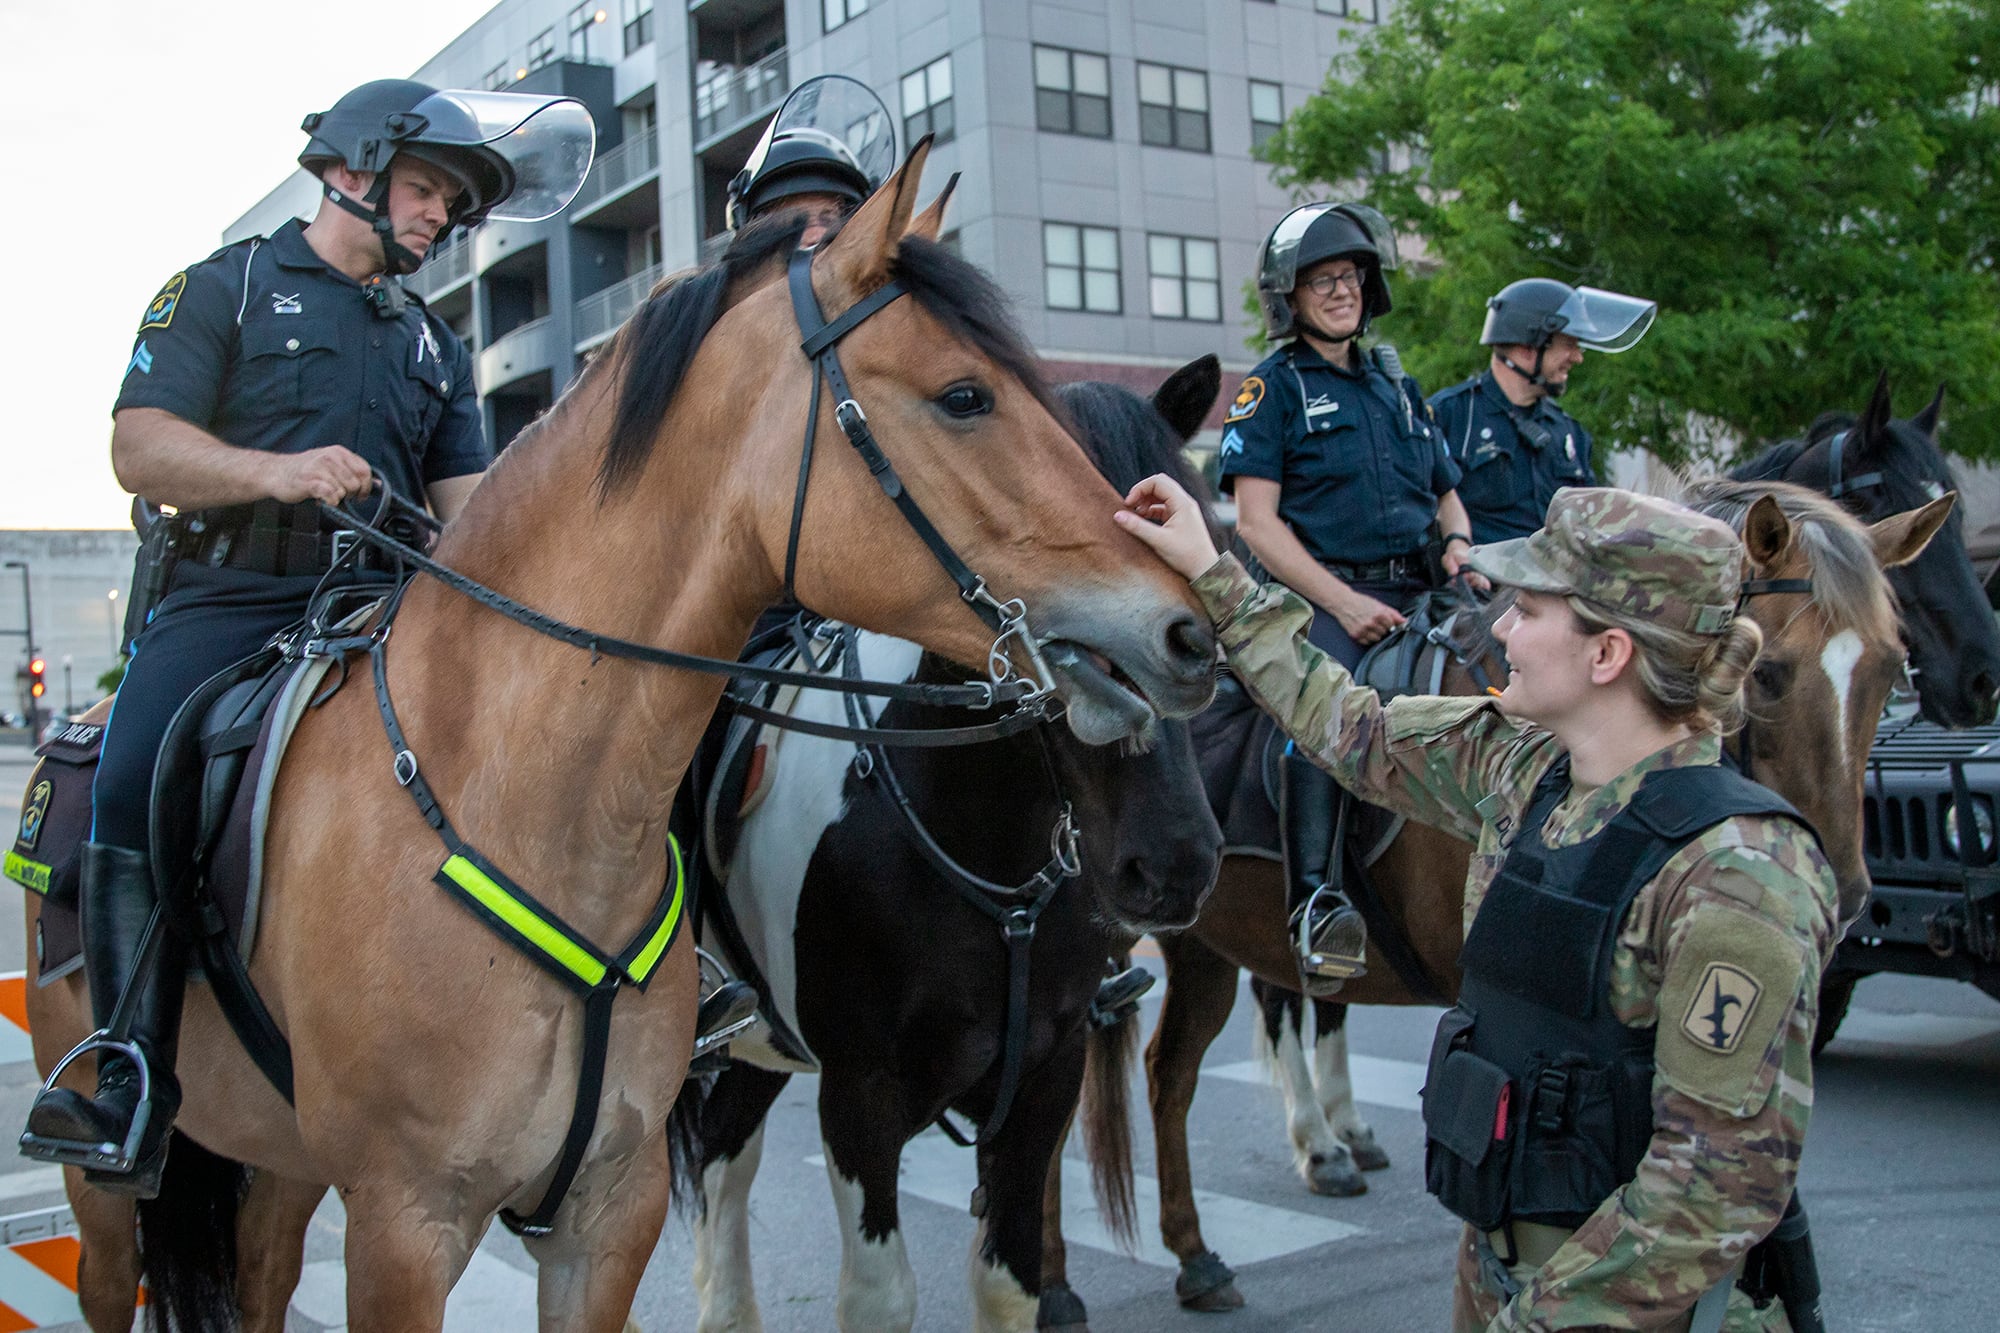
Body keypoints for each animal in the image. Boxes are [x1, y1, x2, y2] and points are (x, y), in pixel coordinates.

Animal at [680, 356, 1224, 1328]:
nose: (1172, 864)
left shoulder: (1045, 1077)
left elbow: (1010, 1278)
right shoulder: (860, 1096)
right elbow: (881, 1293)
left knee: (720, 1151)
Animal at [1048, 478, 1952, 1304]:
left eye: (1890, 670)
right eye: (1768, 674)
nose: (1841, 898)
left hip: (1211, 941)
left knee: (1178, 1065)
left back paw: (1221, 1229)